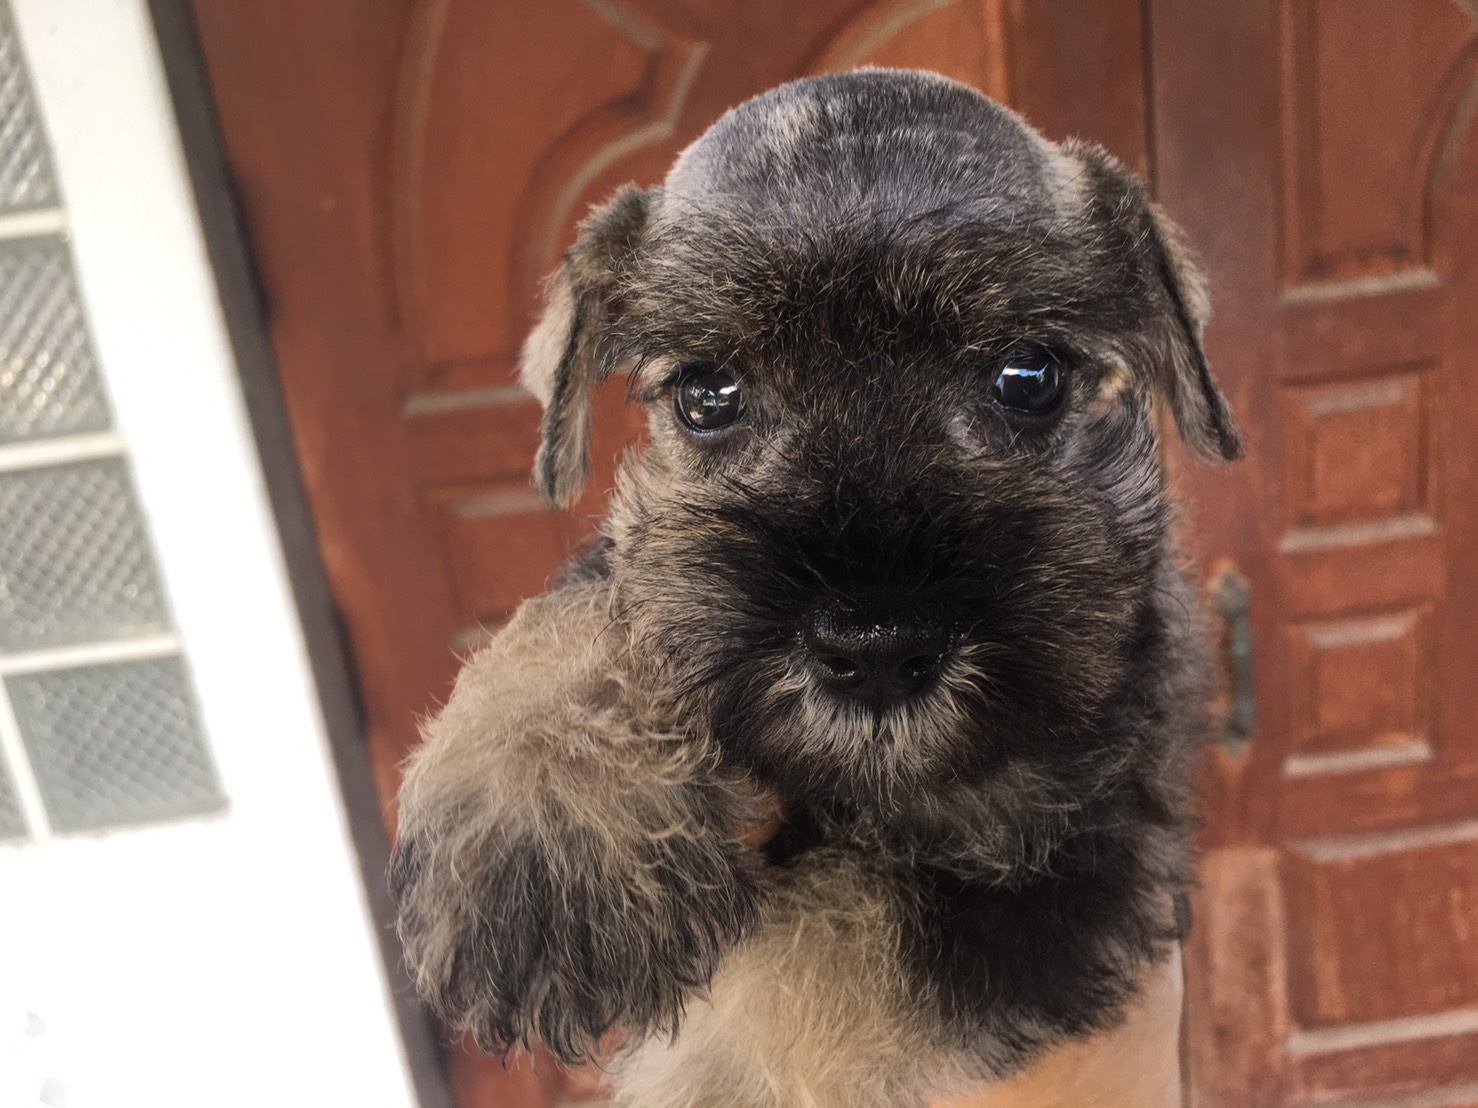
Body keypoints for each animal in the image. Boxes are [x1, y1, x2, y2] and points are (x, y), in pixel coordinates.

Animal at [391, 68, 1240, 1107]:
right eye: (707, 393)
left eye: (1029, 374)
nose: (874, 646)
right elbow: (591, 598)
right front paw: (538, 828)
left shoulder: (1075, 857)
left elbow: (841, 950)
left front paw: (709, 1073)